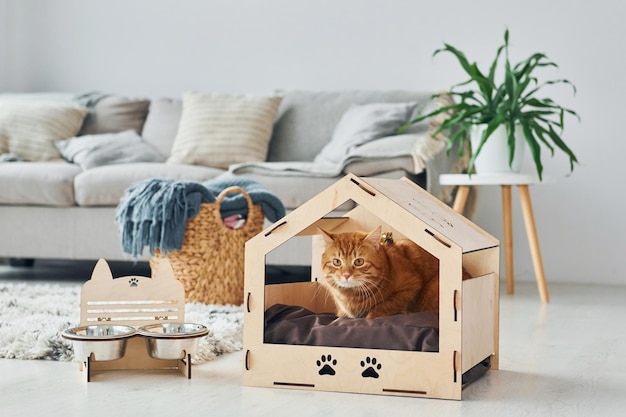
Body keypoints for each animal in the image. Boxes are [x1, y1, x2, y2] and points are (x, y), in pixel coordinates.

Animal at [320, 226, 460, 316]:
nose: (346, 275)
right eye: (337, 262)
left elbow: (383, 307)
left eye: (359, 261)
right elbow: (341, 315)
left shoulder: (410, 286)